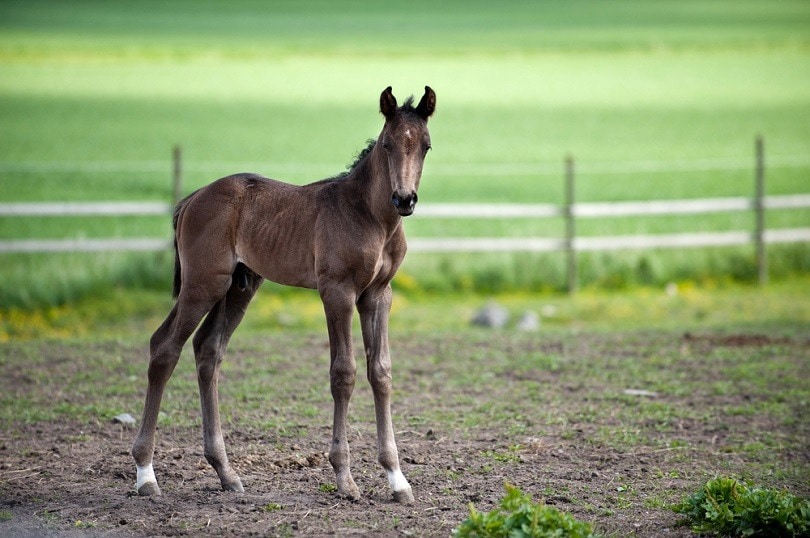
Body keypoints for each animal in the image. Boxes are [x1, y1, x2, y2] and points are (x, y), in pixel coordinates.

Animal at [133, 86, 436, 500]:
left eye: (426, 145)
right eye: (387, 144)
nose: (404, 199)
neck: (371, 217)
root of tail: (192, 198)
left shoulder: (378, 295)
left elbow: (381, 372)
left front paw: (397, 479)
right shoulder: (337, 291)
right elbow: (344, 373)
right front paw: (345, 478)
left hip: (238, 287)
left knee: (208, 351)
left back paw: (226, 473)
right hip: (203, 283)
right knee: (164, 348)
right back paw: (146, 474)